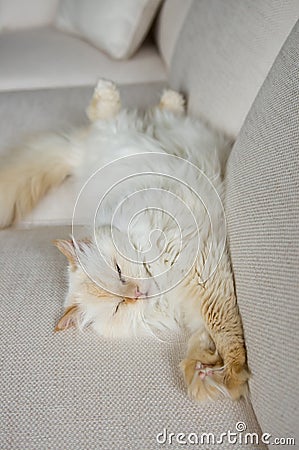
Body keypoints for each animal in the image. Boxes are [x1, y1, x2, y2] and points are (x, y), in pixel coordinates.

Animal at [0, 79, 250, 402]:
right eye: (120, 306)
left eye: (119, 272)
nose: (137, 294)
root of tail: (78, 154)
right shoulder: (197, 303)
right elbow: (205, 343)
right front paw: (205, 374)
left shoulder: (203, 276)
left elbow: (226, 332)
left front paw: (233, 373)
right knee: (132, 114)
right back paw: (167, 99)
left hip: (118, 131)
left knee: (107, 113)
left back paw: (128, 91)